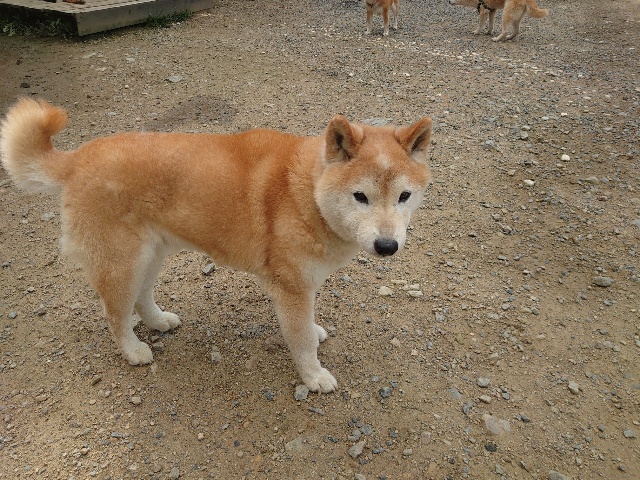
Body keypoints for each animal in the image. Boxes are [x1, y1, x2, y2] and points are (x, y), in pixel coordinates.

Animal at [0, 98, 432, 393]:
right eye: (360, 197)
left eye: (404, 196)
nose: (387, 245)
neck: (306, 192)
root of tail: (75, 159)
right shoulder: (292, 288)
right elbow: (302, 340)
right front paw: (313, 376)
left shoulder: (305, 287)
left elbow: (307, 327)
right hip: (122, 263)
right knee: (115, 313)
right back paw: (134, 350)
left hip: (149, 256)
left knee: (141, 298)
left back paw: (158, 321)